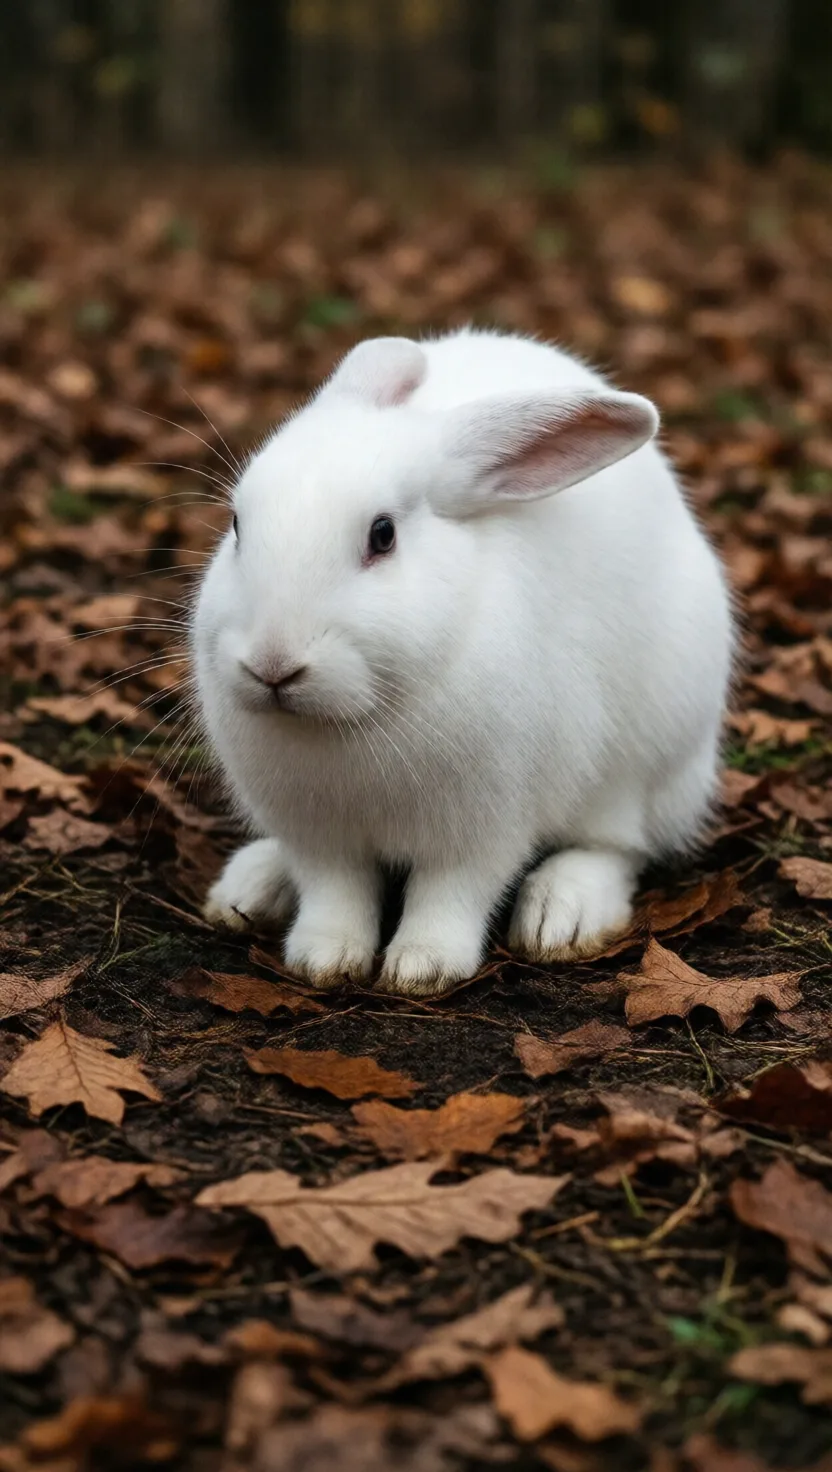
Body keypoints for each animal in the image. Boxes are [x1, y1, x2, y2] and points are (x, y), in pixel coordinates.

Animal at [192, 328, 733, 996]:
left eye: (383, 535)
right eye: (237, 526)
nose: (273, 664)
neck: (352, 719)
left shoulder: (483, 826)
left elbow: (451, 894)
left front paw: (422, 967)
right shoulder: (317, 836)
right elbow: (334, 893)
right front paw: (323, 958)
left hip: (651, 759)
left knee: (619, 846)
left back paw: (563, 914)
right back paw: (251, 886)